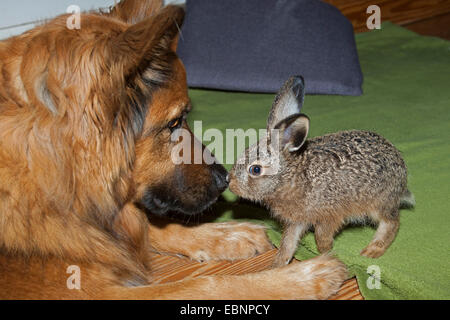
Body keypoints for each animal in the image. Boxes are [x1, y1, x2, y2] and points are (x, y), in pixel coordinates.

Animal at [0, 0, 348, 300]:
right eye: (174, 122)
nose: (224, 180)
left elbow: (146, 229)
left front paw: (229, 235)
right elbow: (206, 285)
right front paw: (297, 278)